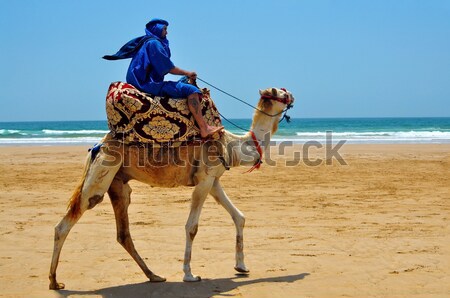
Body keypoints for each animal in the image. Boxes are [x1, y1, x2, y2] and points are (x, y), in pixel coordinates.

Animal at [49, 85, 296, 288]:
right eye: (281, 92)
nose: (293, 95)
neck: (232, 145)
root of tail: (97, 146)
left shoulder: (213, 180)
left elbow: (239, 216)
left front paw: (241, 266)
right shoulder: (204, 180)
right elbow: (192, 227)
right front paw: (189, 275)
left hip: (118, 183)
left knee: (123, 233)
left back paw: (154, 276)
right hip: (102, 174)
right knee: (65, 223)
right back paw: (54, 281)